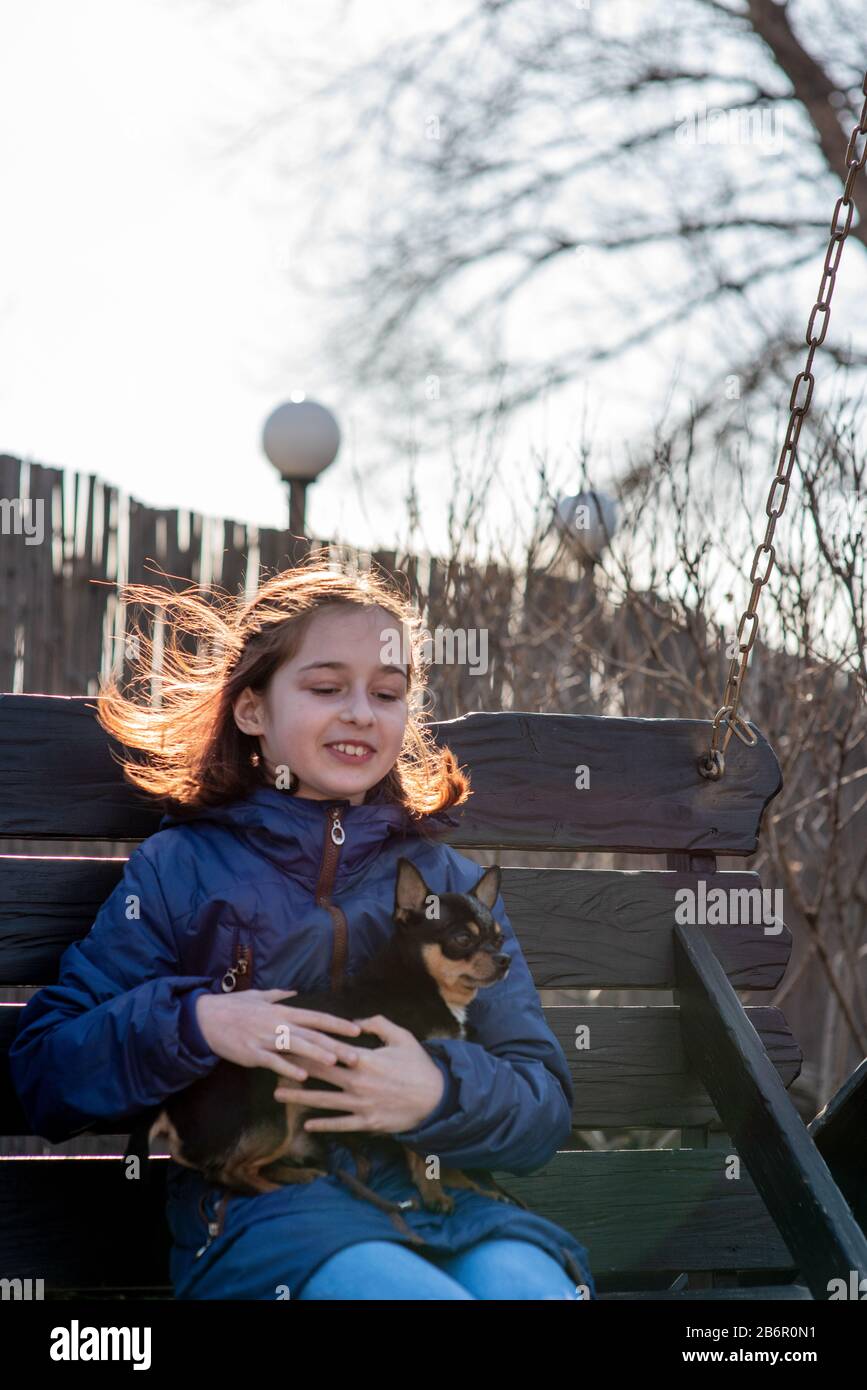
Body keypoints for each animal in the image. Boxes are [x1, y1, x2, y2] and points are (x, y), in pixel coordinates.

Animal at [148, 850, 514, 1212]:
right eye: (462, 939)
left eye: (499, 938)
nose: (505, 959)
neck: (422, 984)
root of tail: (171, 1109)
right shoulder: (413, 1086)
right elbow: (422, 1153)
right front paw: (435, 1195)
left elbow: (443, 1148)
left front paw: (469, 1185)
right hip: (273, 1102)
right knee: (228, 1172)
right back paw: (275, 1191)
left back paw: (299, 1176)